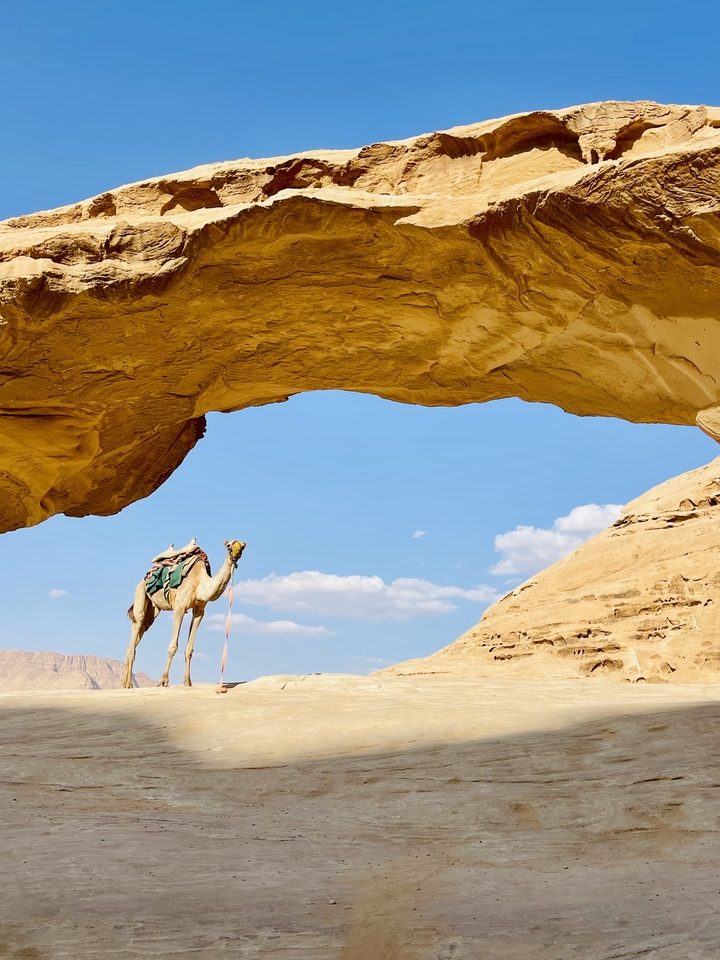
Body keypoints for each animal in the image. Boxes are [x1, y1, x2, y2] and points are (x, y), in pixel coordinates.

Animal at [122, 539, 246, 689]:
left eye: (242, 548)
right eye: (229, 547)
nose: (236, 553)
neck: (200, 584)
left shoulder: (199, 611)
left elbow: (189, 649)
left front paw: (187, 682)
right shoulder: (180, 607)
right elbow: (173, 646)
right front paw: (163, 681)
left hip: (152, 610)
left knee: (137, 635)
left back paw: (123, 684)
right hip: (140, 593)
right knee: (137, 627)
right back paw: (129, 684)